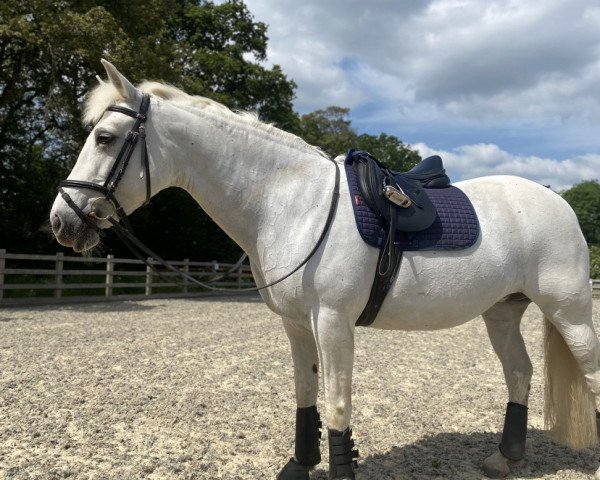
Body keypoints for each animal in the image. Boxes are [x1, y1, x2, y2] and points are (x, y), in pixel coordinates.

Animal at [51, 61, 600, 480]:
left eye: (105, 137)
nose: (61, 220)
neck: (292, 202)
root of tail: (558, 202)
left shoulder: (333, 322)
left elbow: (336, 405)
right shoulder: (296, 324)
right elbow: (305, 396)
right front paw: (298, 465)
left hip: (570, 312)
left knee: (589, 374)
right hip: (502, 312)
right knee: (520, 373)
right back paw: (504, 460)